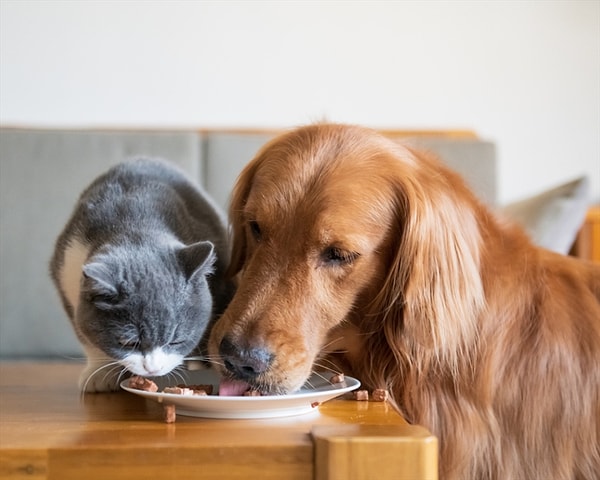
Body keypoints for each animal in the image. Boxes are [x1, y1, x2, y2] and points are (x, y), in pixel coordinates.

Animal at [49, 159, 234, 392]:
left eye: (176, 341)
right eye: (128, 342)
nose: (152, 369)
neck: (133, 221)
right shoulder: (66, 270)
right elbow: (86, 334)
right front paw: (100, 373)